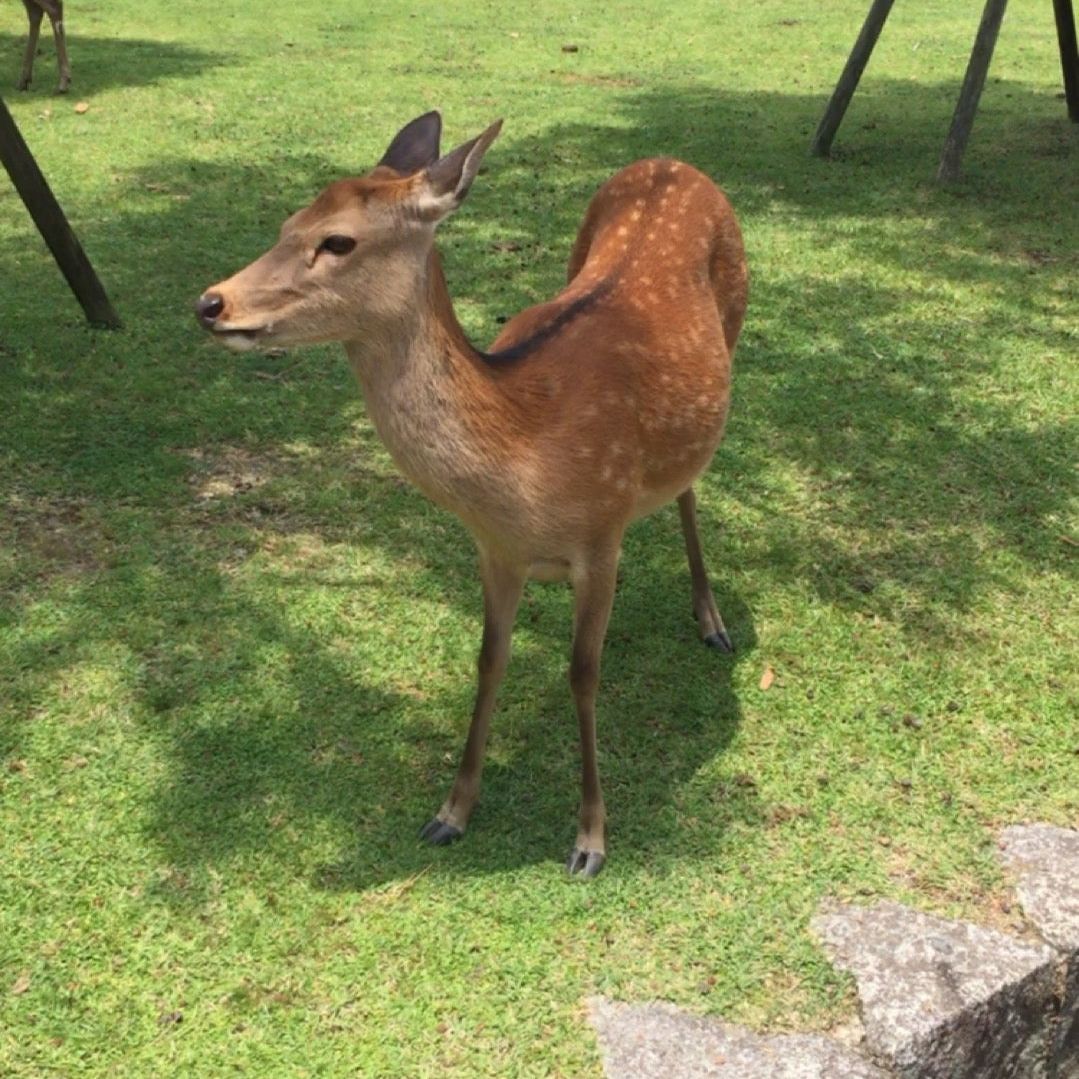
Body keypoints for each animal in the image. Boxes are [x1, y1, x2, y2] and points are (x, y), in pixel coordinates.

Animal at [194, 109, 746, 876]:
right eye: (287, 222)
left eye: (338, 241)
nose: (210, 303)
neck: (526, 461)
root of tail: (673, 162)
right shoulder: (494, 552)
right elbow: (489, 661)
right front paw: (451, 812)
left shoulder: (602, 536)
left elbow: (582, 672)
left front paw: (589, 839)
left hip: (737, 319)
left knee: (692, 486)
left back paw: (712, 621)